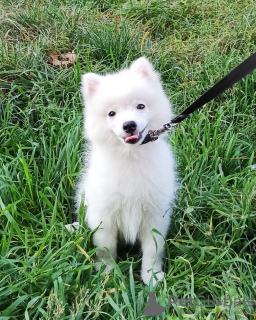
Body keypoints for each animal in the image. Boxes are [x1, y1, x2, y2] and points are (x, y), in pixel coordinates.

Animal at [75, 57, 177, 284]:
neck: (131, 157)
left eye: (140, 106)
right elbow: (105, 247)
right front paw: (107, 271)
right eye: (111, 113)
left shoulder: (155, 215)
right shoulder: (104, 215)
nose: (129, 125)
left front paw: (152, 276)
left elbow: (153, 249)